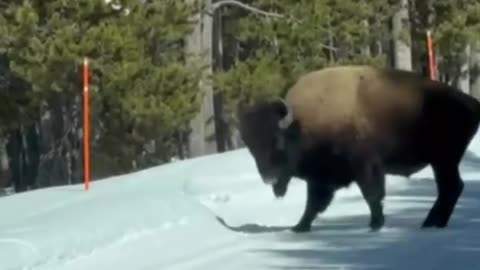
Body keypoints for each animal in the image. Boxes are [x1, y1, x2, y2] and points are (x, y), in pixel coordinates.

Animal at [238, 65, 480, 232]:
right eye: (251, 147)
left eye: (278, 141)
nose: (269, 178)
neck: (303, 123)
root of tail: (471, 102)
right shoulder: (321, 177)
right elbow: (313, 204)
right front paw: (299, 227)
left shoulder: (365, 166)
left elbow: (371, 194)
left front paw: (376, 224)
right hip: (442, 161)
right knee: (450, 188)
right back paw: (431, 223)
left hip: (444, 160)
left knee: (450, 188)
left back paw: (430, 223)